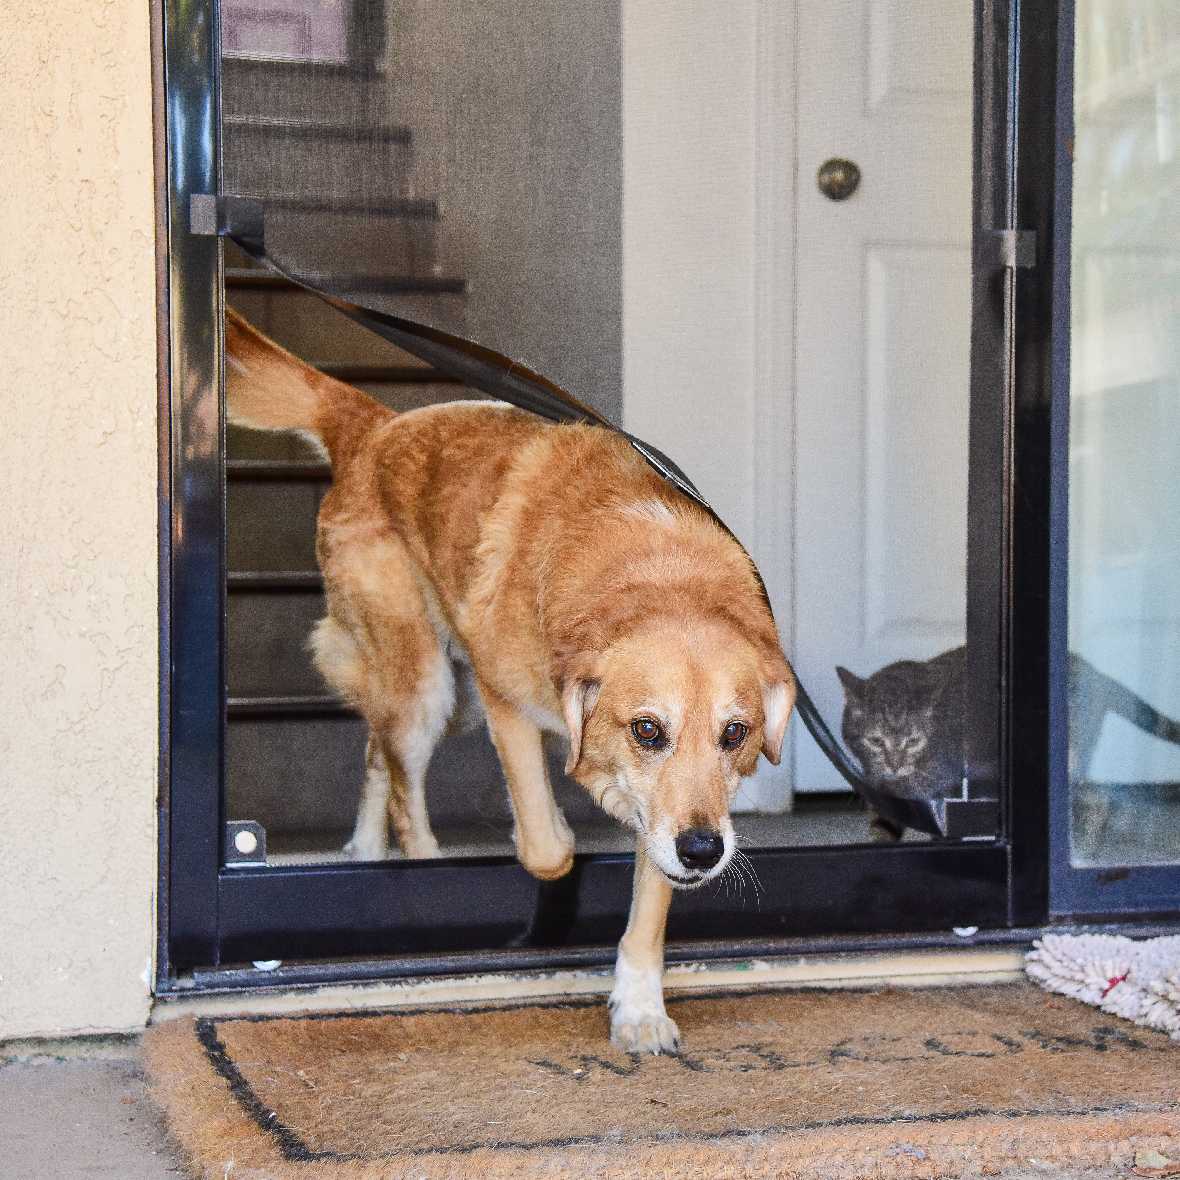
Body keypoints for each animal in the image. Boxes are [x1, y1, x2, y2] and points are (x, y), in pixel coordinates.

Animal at [223, 311, 792, 1052]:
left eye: (735, 734)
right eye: (647, 730)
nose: (704, 852)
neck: (659, 575)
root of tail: (374, 427)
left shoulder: (668, 814)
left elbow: (650, 906)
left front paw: (639, 1008)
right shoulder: (507, 707)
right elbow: (548, 848)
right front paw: (563, 836)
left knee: (376, 753)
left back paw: (365, 851)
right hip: (430, 687)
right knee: (403, 784)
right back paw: (419, 859)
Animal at [835, 646, 1180, 840]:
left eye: (913, 741)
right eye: (875, 740)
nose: (894, 766)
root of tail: (1095, 673)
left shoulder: (944, 789)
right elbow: (882, 830)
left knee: (1099, 801)